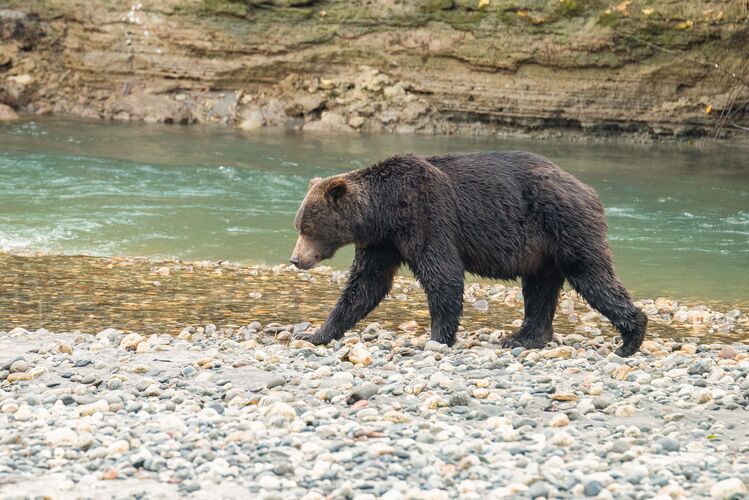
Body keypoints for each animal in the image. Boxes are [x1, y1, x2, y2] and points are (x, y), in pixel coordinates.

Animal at [290, 150, 644, 358]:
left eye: (308, 227)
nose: (296, 260)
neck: (385, 211)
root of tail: (589, 190)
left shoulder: (426, 216)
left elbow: (442, 273)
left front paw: (437, 337)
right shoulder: (383, 242)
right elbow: (365, 284)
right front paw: (315, 333)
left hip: (564, 224)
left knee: (592, 275)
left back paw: (631, 337)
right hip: (542, 251)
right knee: (539, 289)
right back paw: (522, 338)